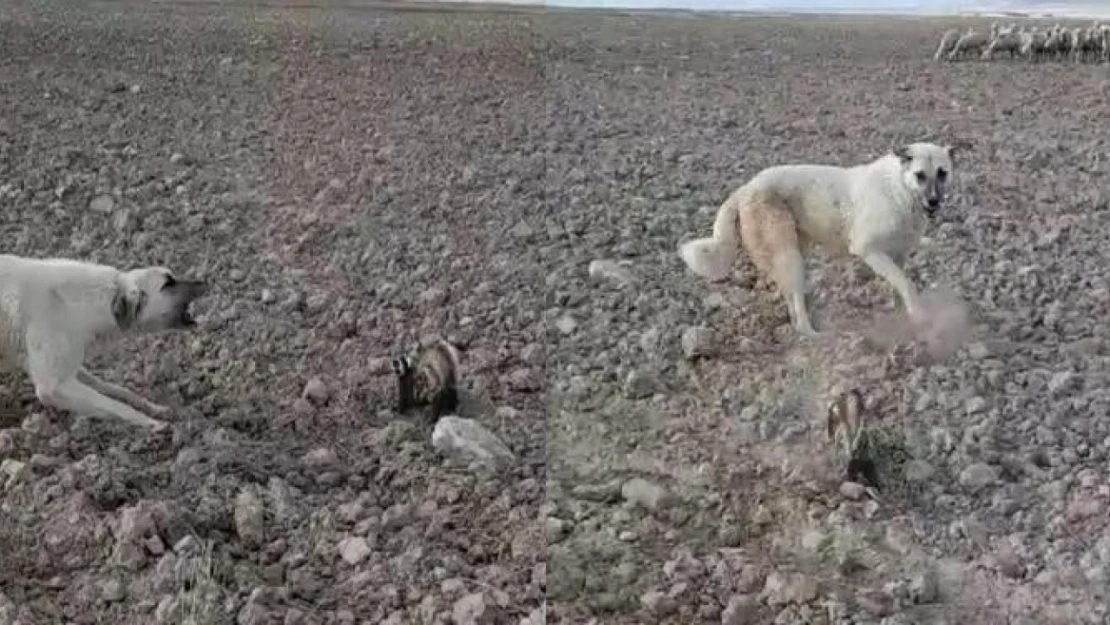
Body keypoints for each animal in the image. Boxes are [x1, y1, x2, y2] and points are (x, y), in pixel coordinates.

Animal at [0, 254, 207, 430]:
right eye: (167, 283)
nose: (204, 282)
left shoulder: (69, 369)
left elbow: (115, 389)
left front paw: (153, 407)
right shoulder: (52, 388)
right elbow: (117, 406)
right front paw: (151, 424)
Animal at [679, 142, 959, 337]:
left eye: (942, 173)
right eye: (920, 175)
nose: (934, 202)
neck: (900, 188)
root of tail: (746, 188)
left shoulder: (897, 255)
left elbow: (900, 285)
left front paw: (903, 316)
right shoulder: (868, 250)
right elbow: (907, 284)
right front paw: (919, 316)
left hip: (795, 251)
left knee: (790, 298)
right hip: (788, 255)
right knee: (796, 305)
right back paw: (814, 335)